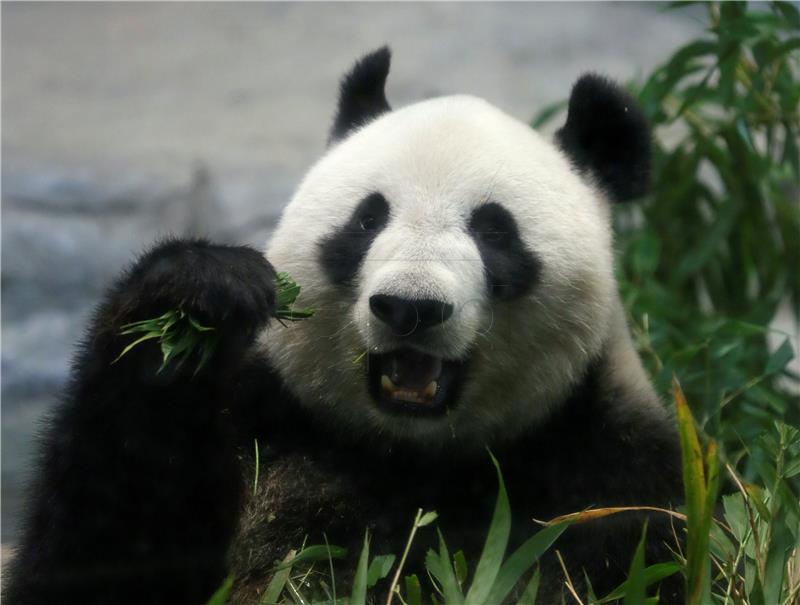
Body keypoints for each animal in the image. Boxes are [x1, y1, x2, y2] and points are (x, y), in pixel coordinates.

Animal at [4, 48, 680, 604]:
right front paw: (193, 307)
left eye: (495, 231)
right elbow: (98, 555)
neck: (412, 453)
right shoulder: (264, 423)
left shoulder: (614, 481)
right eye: (367, 219)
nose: (411, 306)